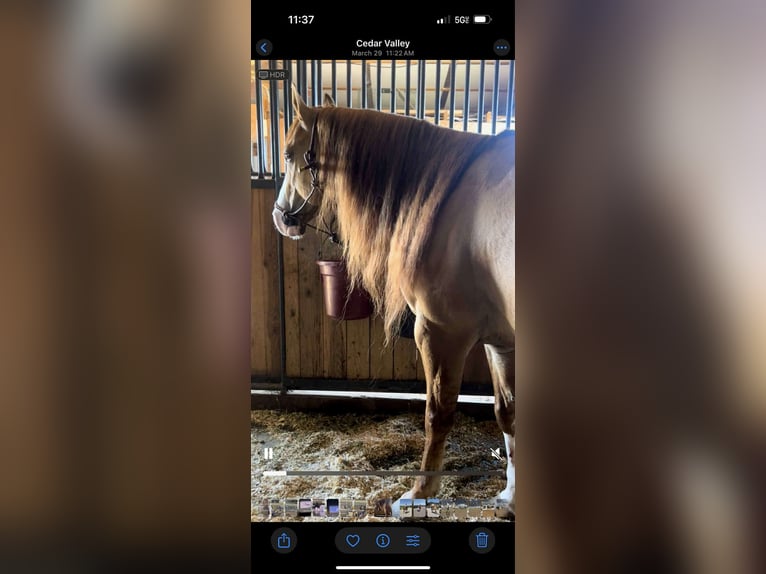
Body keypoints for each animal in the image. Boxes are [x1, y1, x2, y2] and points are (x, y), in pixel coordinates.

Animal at [273, 85, 516, 515]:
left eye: (287, 154)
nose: (279, 217)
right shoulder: (499, 340)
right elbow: (508, 414)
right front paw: (510, 496)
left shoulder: (440, 333)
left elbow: (438, 415)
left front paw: (418, 494)